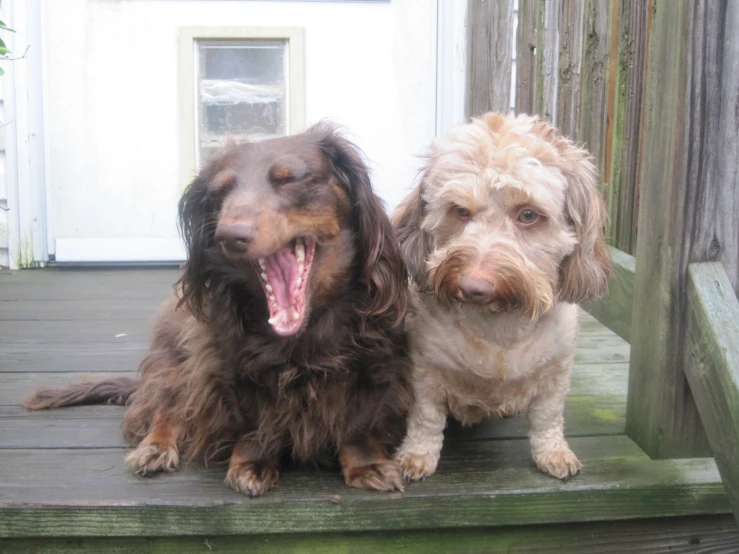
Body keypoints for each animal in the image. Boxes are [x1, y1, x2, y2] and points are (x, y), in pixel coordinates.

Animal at [24, 124, 416, 496]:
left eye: (289, 178)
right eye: (221, 192)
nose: (230, 235)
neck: (301, 334)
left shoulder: (375, 365)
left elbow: (358, 424)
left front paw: (366, 465)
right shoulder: (225, 365)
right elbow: (253, 422)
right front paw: (252, 462)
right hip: (175, 364)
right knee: (166, 409)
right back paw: (155, 447)